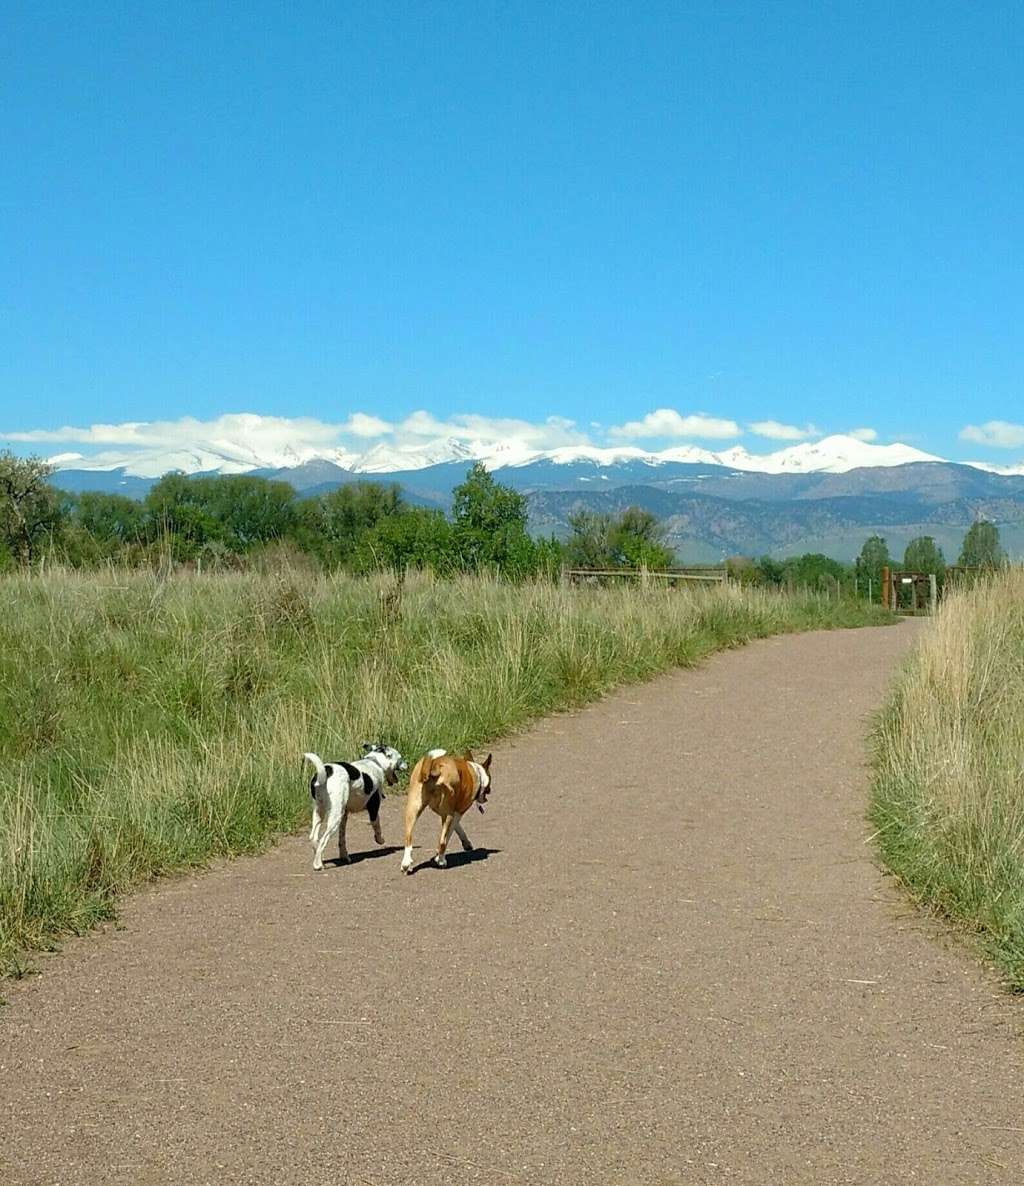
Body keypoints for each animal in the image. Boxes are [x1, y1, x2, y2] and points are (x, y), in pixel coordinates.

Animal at [302, 740, 405, 872]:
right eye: (400, 757)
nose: (407, 764)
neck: (374, 762)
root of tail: (326, 771)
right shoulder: (373, 810)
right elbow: (377, 827)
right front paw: (380, 840)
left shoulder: (344, 816)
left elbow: (342, 839)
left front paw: (344, 856)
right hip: (334, 818)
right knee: (323, 840)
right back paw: (317, 865)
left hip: (319, 812)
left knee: (314, 838)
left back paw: (321, 861)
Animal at [401, 744, 493, 877]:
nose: (485, 798)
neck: (477, 773)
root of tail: (435, 765)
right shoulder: (456, 813)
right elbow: (448, 835)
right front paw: (438, 856)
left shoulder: (453, 813)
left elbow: (458, 828)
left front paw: (466, 843)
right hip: (446, 813)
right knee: (442, 840)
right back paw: (441, 860)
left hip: (412, 809)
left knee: (408, 838)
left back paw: (406, 864)